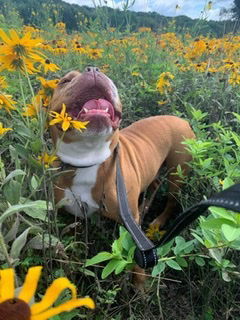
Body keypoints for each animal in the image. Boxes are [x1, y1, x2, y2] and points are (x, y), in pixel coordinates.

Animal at [49, 66, 194, 288]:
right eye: (64, 81)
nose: (92, 68)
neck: (87, 159)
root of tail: (181, 119)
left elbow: (137, 259)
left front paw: (140, 286)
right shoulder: (72, 215)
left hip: (177, 173)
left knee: (171, 201)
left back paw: (157, 221)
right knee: (154, 184)